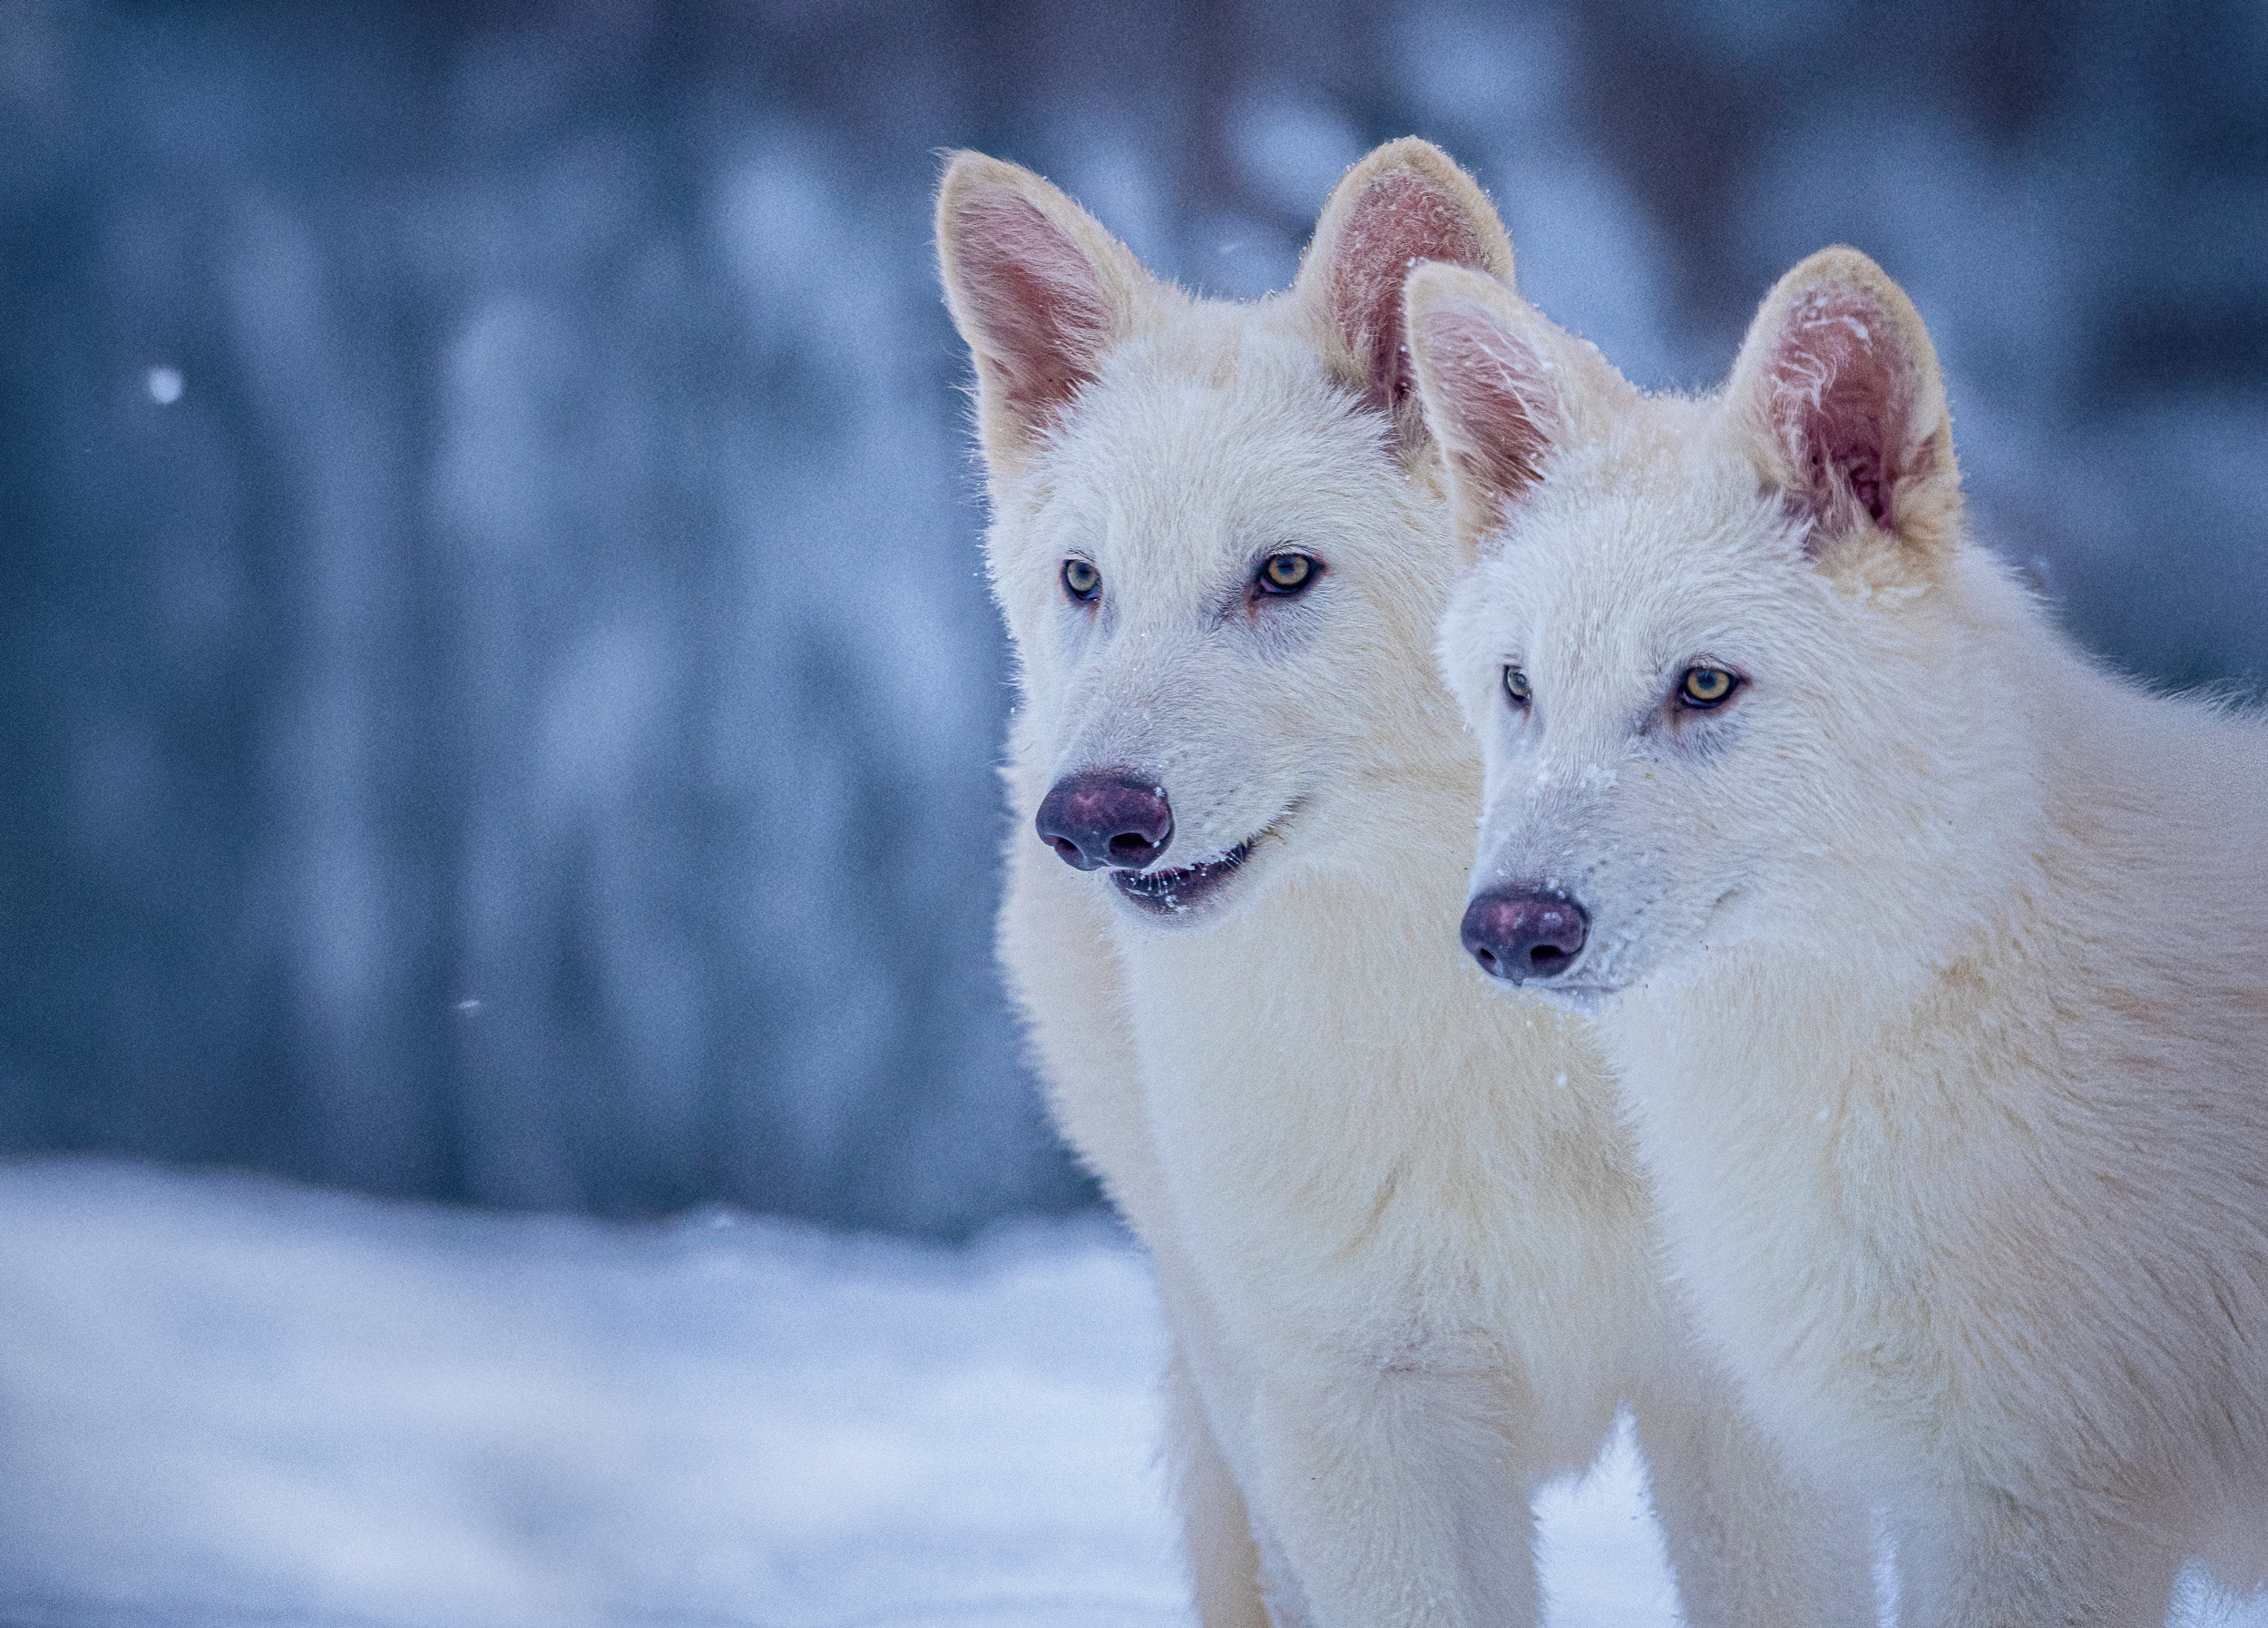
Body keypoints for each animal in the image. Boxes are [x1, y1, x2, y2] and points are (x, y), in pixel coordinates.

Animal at [935, 139, 1870, 1627]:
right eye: (1086, 580)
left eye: (1283, 573)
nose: (1092, 821)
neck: (1496, 1048)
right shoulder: (1360, 1426)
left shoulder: (1744, 1413)